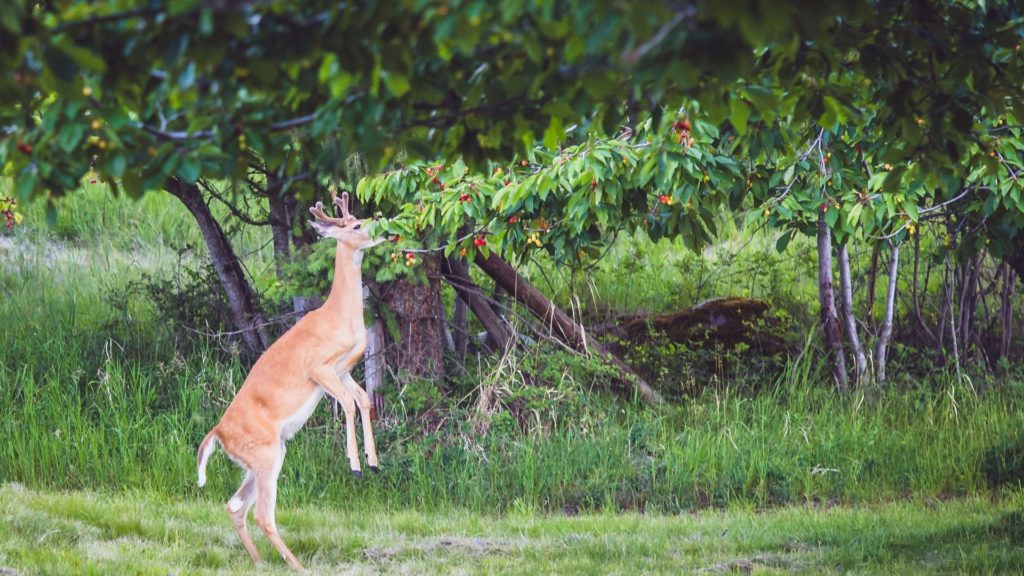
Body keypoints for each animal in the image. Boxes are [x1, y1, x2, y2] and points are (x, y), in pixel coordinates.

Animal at [195, 190, 385, 565]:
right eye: (356, 225)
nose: (381, 227)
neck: (339, 316)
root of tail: (219, 433)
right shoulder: (319, 368)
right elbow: (348, 403)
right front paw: (355, 464)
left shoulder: (343, 369)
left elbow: (363, 399)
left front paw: (372, 462)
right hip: (266, 454)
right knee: (261, 514)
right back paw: (296, 565)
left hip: (262, 458)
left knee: (234, 505)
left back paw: (259, 562)